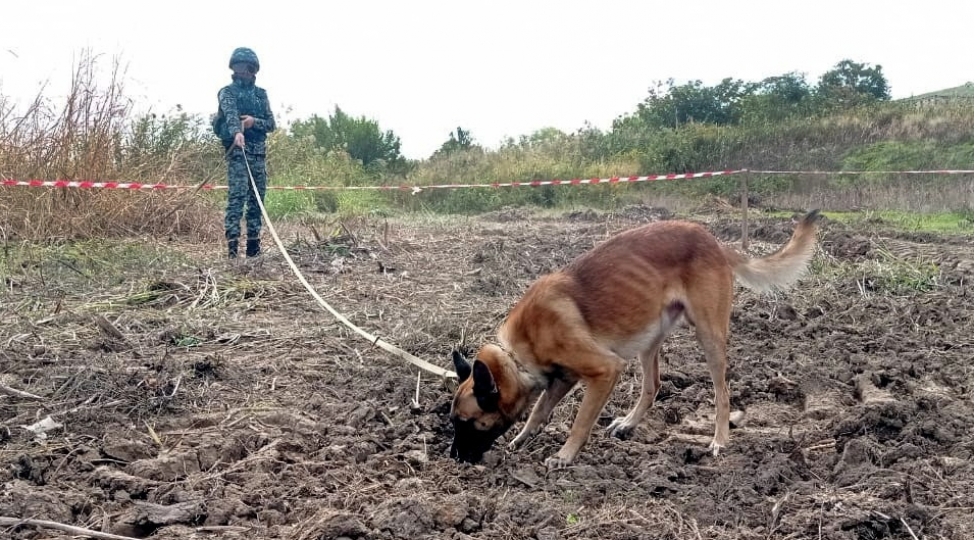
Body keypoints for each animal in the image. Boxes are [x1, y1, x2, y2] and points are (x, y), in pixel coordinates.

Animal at [450, 211, 824, 468]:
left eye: (467, 424)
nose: (454, 458)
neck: (517, 355)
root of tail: (713, 240)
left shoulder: (604, 370)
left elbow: (580, 421)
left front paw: (565, 455)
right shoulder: (563, 378)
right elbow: (538, 411)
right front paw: (521, 439)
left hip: (709, 336)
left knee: (722, 393)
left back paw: (719, 439)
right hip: (648, 340)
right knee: (653, 385)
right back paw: (629, 423)